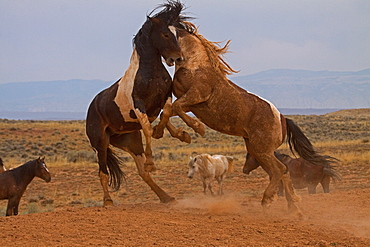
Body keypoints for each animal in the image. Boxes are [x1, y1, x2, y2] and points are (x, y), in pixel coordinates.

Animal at [86, 0, 189, 205]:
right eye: (165, 34)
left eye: (177, 33)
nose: (177, 58)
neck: (150, 73)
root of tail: (92, 107)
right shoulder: (139, 106)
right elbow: (148, 128)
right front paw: (152, 159)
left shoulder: (164, 98)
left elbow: (165, 113)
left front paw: (177, 133)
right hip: (100, 143)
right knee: (103, 172)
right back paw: (107, 201)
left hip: (130, 141)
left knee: (142, 173)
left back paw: (166, 197)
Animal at [153, 21, 338, 216]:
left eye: (165, 35)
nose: (172, 58)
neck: (196, 65)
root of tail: (282, 120)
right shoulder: (189, 104)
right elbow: (167, 111)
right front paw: (165, 132)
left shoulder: (195, 96)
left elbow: (174, 108)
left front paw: (196, 129)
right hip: (257, 151)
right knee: (281, 172)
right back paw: (294, 207)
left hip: (262, 150)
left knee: (279, 169)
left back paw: (269, 200)